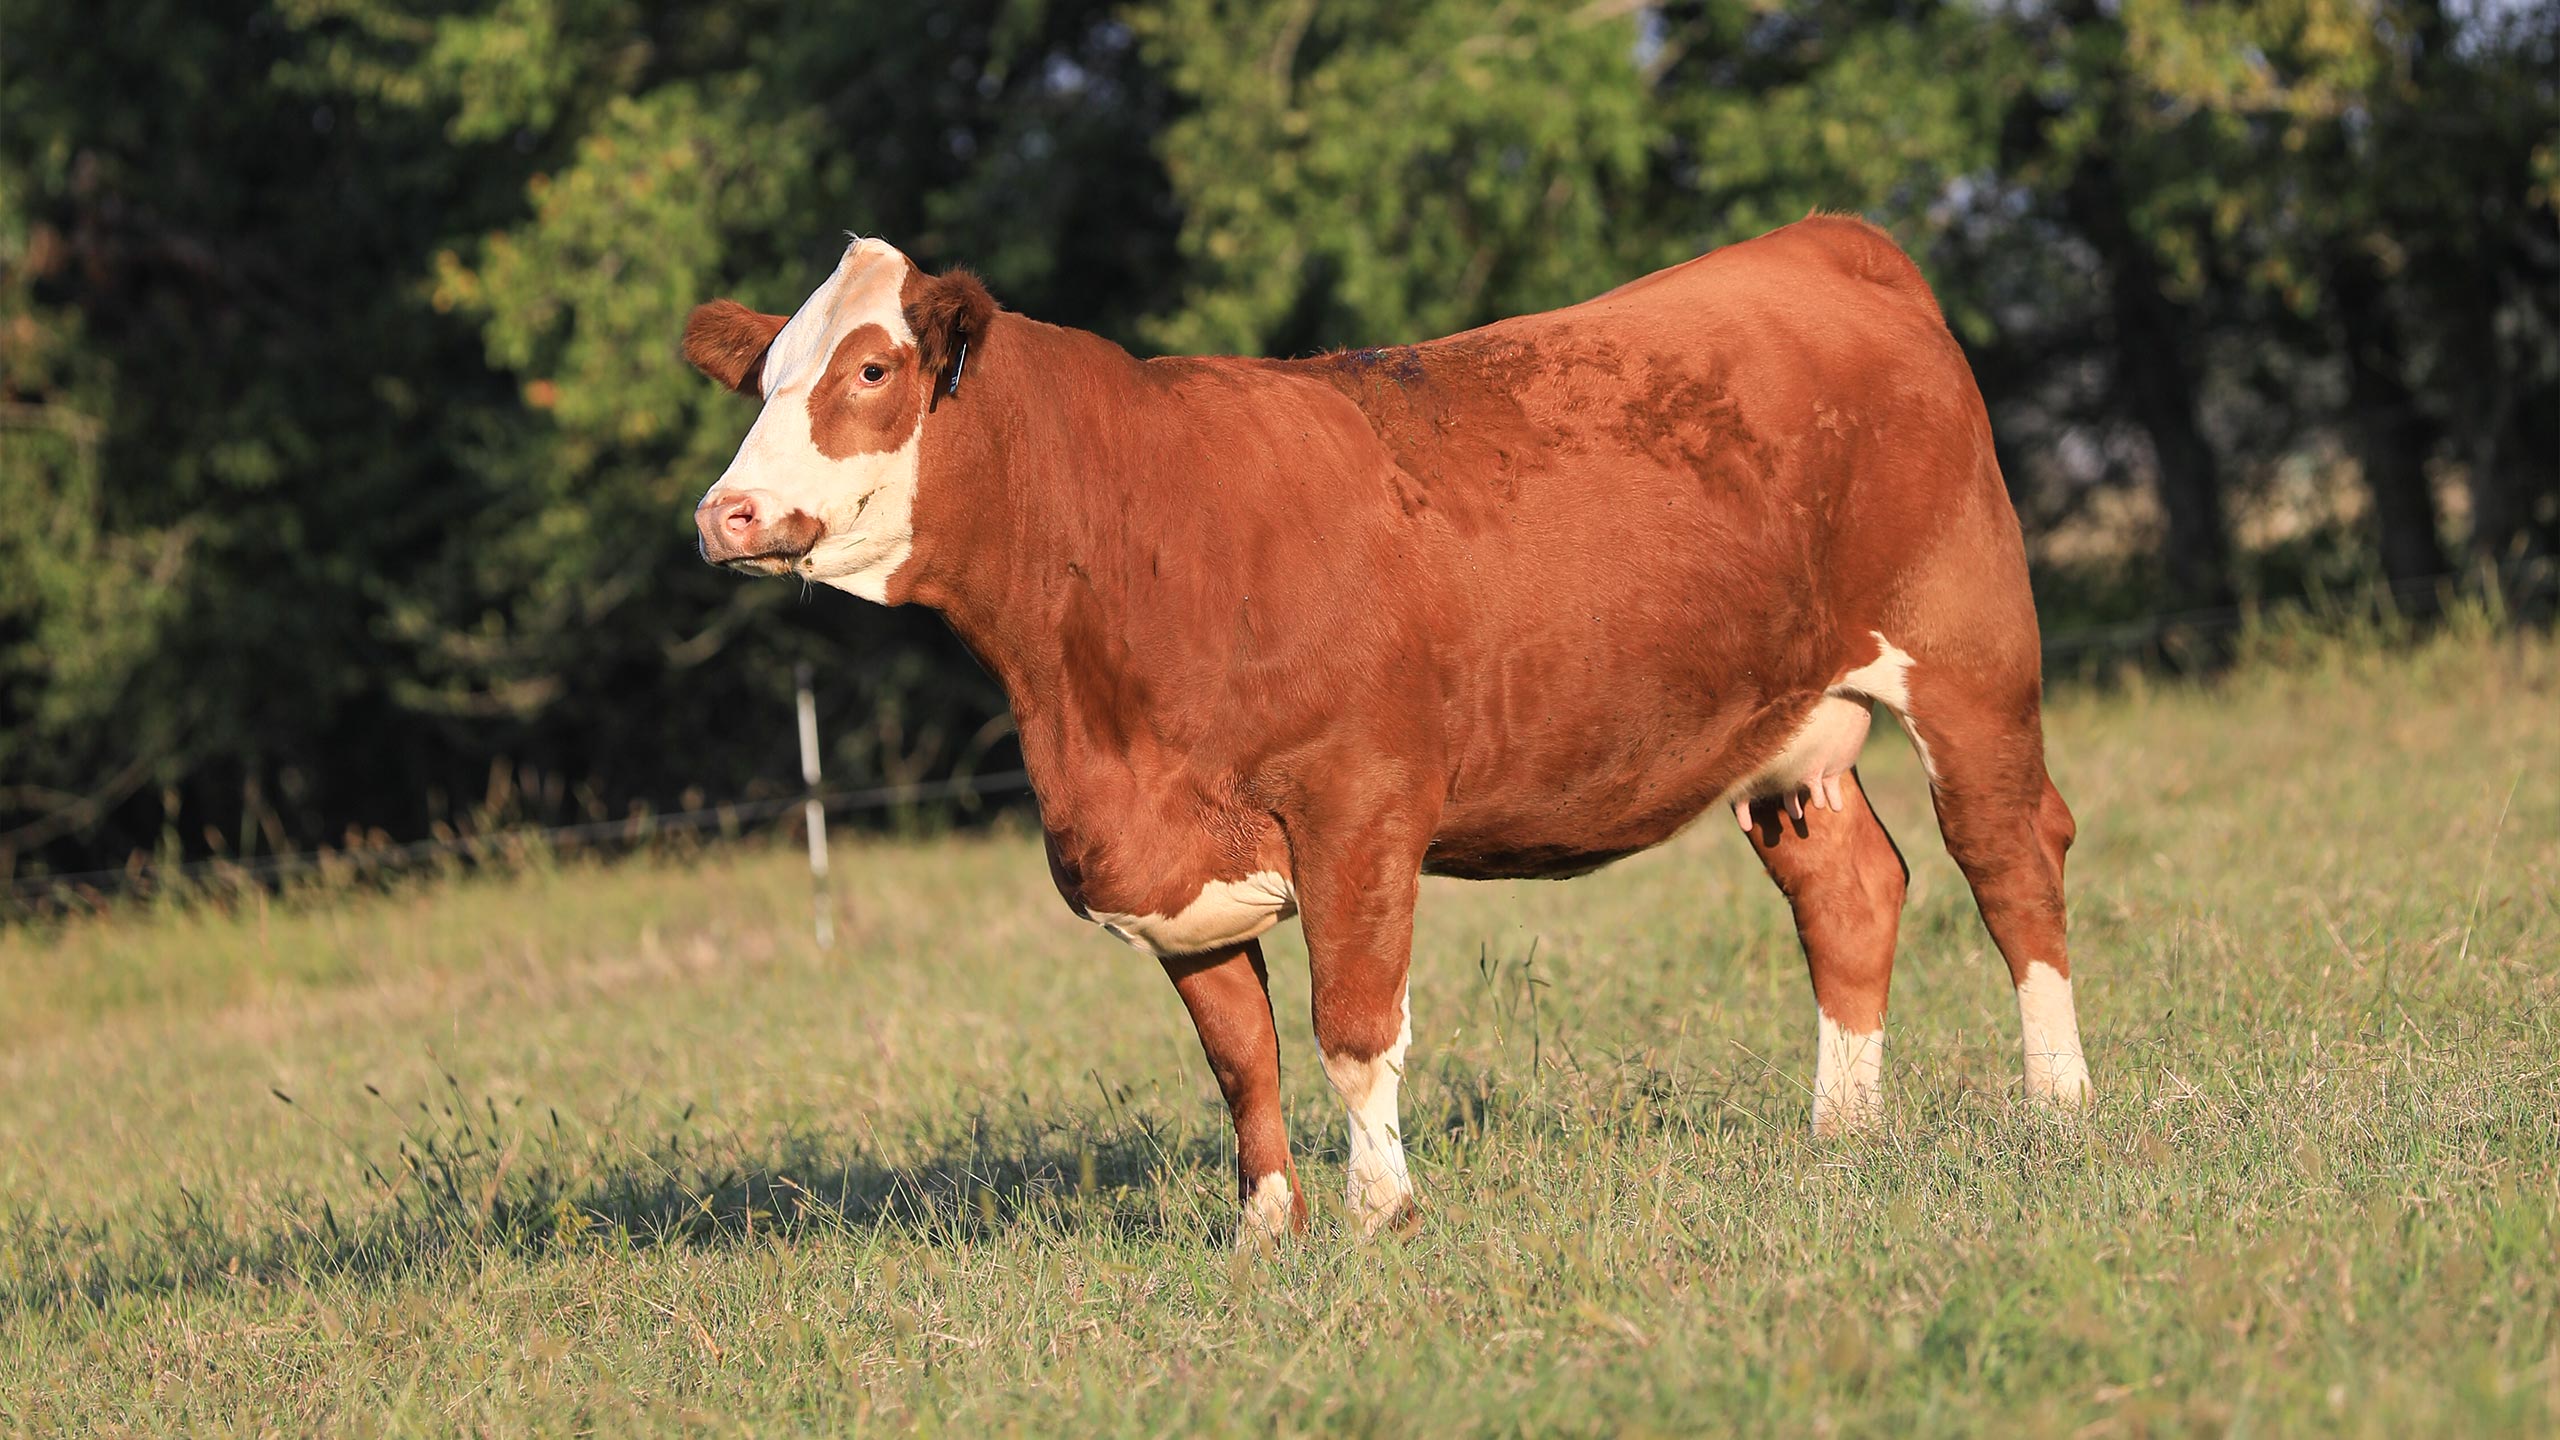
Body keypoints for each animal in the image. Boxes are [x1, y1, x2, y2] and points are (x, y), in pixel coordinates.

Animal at [679, 216, 2092, 1242]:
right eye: (761, 381)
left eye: (872, 370)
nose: (725, 513)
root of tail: (1824, 241)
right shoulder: (1172, 858)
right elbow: (1240, 1058)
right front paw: (1265, 1233)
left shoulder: (1355, 807)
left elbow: (1352, 1028)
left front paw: (1380, 1216)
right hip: (1791, 727)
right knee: (1849, 891)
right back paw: (1840, 1132)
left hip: (1970, 657)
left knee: (2008, 860)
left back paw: (2056, 1106)